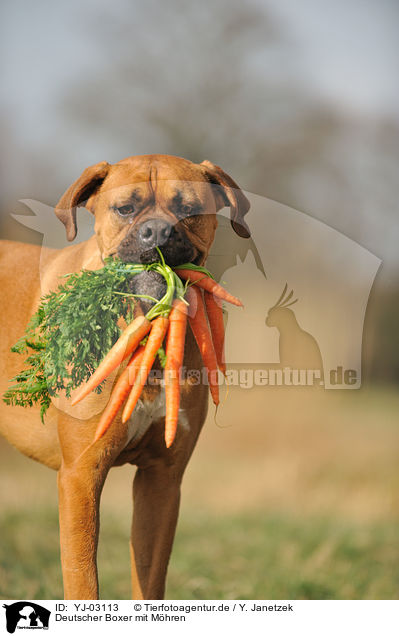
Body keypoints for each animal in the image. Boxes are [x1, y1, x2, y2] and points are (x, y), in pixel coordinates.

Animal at [0, 153, 250, 596]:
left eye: (188, 209)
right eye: (125, 209)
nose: (158, 231)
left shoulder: (162, 480)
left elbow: (149, 579)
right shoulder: (81, 476)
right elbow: (83, 579)